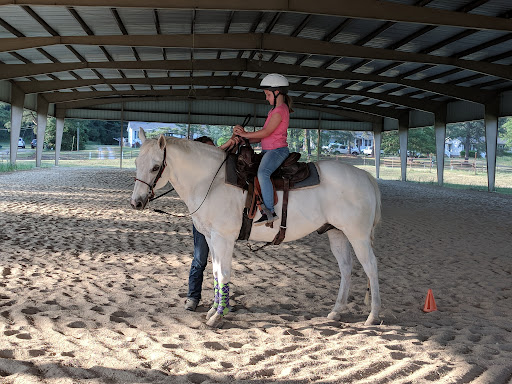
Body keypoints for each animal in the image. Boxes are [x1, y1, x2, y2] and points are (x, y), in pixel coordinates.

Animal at [131, 129, 380, 328]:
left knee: (370, 267)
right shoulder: (211, 237)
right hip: (337, 232)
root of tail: (366, 177)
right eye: (136, 164)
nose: (136, 202)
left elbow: (224, 273)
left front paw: (218, 317)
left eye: (155, 167)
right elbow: (215, 271)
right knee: (346, 268)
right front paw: (212, 310)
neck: (211, 181)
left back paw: (373, 316)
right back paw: (336, 311)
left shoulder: (223, 238)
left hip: (357, 235)